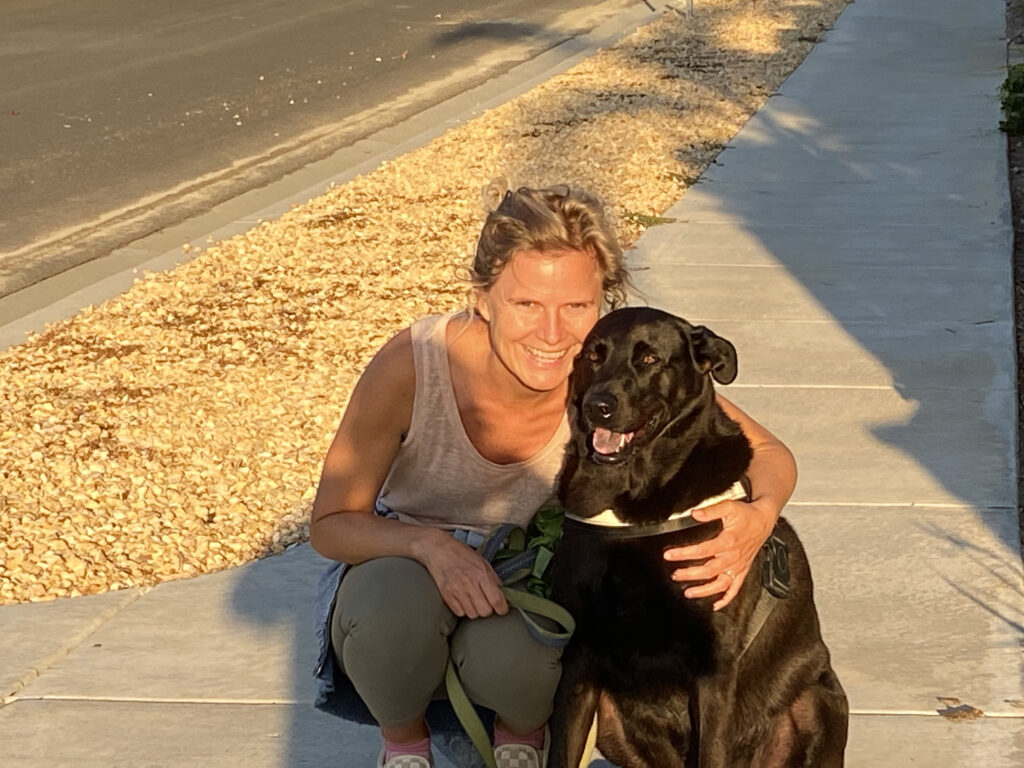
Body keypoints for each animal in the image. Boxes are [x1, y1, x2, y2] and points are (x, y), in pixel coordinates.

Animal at [552, 309, 847, 768]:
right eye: (594, 356)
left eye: (650, 358)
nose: (598, 406)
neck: (634, 504)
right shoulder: (580, 657)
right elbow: (561, 750)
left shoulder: (713, 668)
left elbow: (711, 749)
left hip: (819, 699)